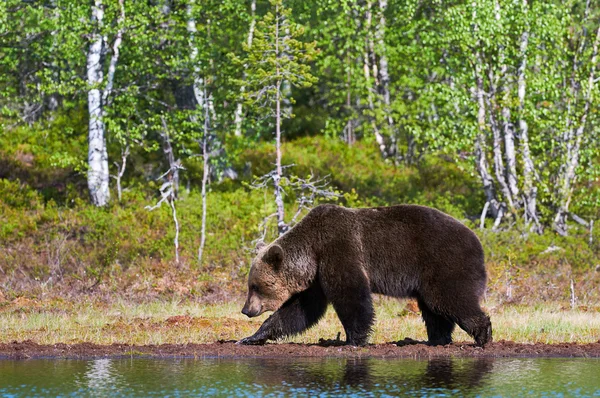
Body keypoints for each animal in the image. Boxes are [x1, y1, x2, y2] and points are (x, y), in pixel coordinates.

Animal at [239, 204, 492, 346]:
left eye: (255, 286)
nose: (246, 310)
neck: (311, 252)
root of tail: (478, 242)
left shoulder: (339, 249)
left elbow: (351, 295)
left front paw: (354, 339)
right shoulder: (316, 277)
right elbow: (301, 309)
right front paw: (252, 337)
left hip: (443, 263)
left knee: (448, 299)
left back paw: (482, 334)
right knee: (434, 310)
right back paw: (437, 339)